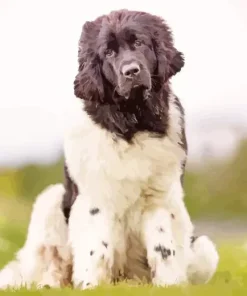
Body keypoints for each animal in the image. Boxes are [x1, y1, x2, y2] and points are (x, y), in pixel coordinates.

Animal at [0, 8, 219, 290]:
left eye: (139, 43)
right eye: (108, 53)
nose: (131, 71)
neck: (130, 123)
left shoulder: (159, 196)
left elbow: (163, 247)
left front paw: (169, 285)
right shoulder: (96, 194)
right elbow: (97, 248)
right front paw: (90, 286)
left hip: (204, 250)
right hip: (50, 200)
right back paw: (50, 285)